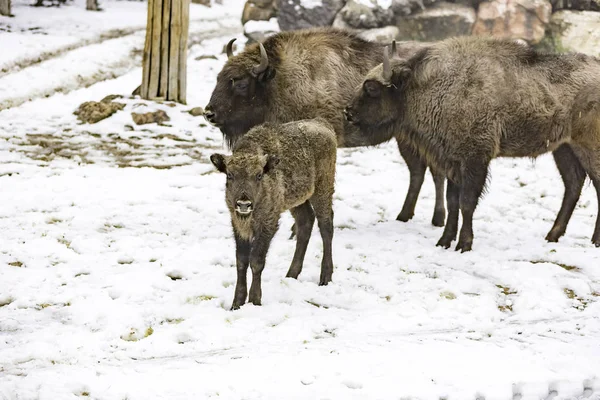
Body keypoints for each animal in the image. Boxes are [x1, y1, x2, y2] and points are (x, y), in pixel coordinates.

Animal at [204, 26, 448, 228]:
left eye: (240, 82)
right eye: (218, 78)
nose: (209, 113)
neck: (279, 80)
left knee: (436, 173)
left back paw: (437, 219)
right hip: (406, 139)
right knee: (418, 171)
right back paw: (404, 216)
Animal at [210, 117, 338, 310]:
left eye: (258, 175)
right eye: (230, 175)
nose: (243, 204)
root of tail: (322, 123)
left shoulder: (268, 222)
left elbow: (256, 260)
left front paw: (255, 300)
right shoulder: (238, 225)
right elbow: (241, 261)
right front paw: (236, 303)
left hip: (322, 189)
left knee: (326, 226)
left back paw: (325, 277)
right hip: (298, 201)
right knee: (306, 223)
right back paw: (291, 274)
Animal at [344, 36, 600, 252]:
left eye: (372, 88)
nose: (348, 112)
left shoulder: (475, 160)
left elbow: (467, 203)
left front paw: (464, 244)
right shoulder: (452, 162)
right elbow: (452, 201)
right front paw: (444, 241)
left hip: (587, 148)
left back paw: (594, 241)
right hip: (564, 149)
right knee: (573, 185)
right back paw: (552, 235)